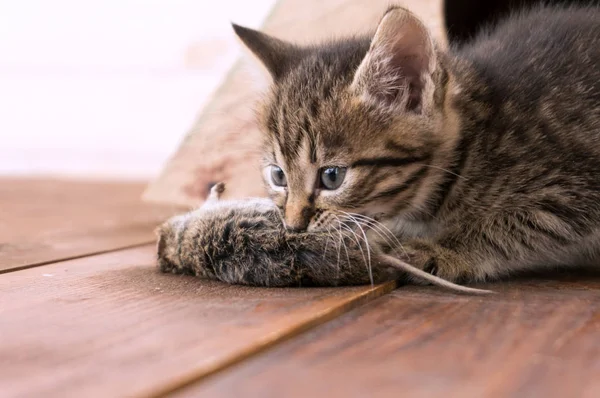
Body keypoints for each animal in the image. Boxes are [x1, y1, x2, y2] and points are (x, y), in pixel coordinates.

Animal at [233, 3, 600, 282]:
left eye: (332, 177)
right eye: (278, 176)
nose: (294, 227)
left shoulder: (572, 188)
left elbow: (515, 224)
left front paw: (444, 249)